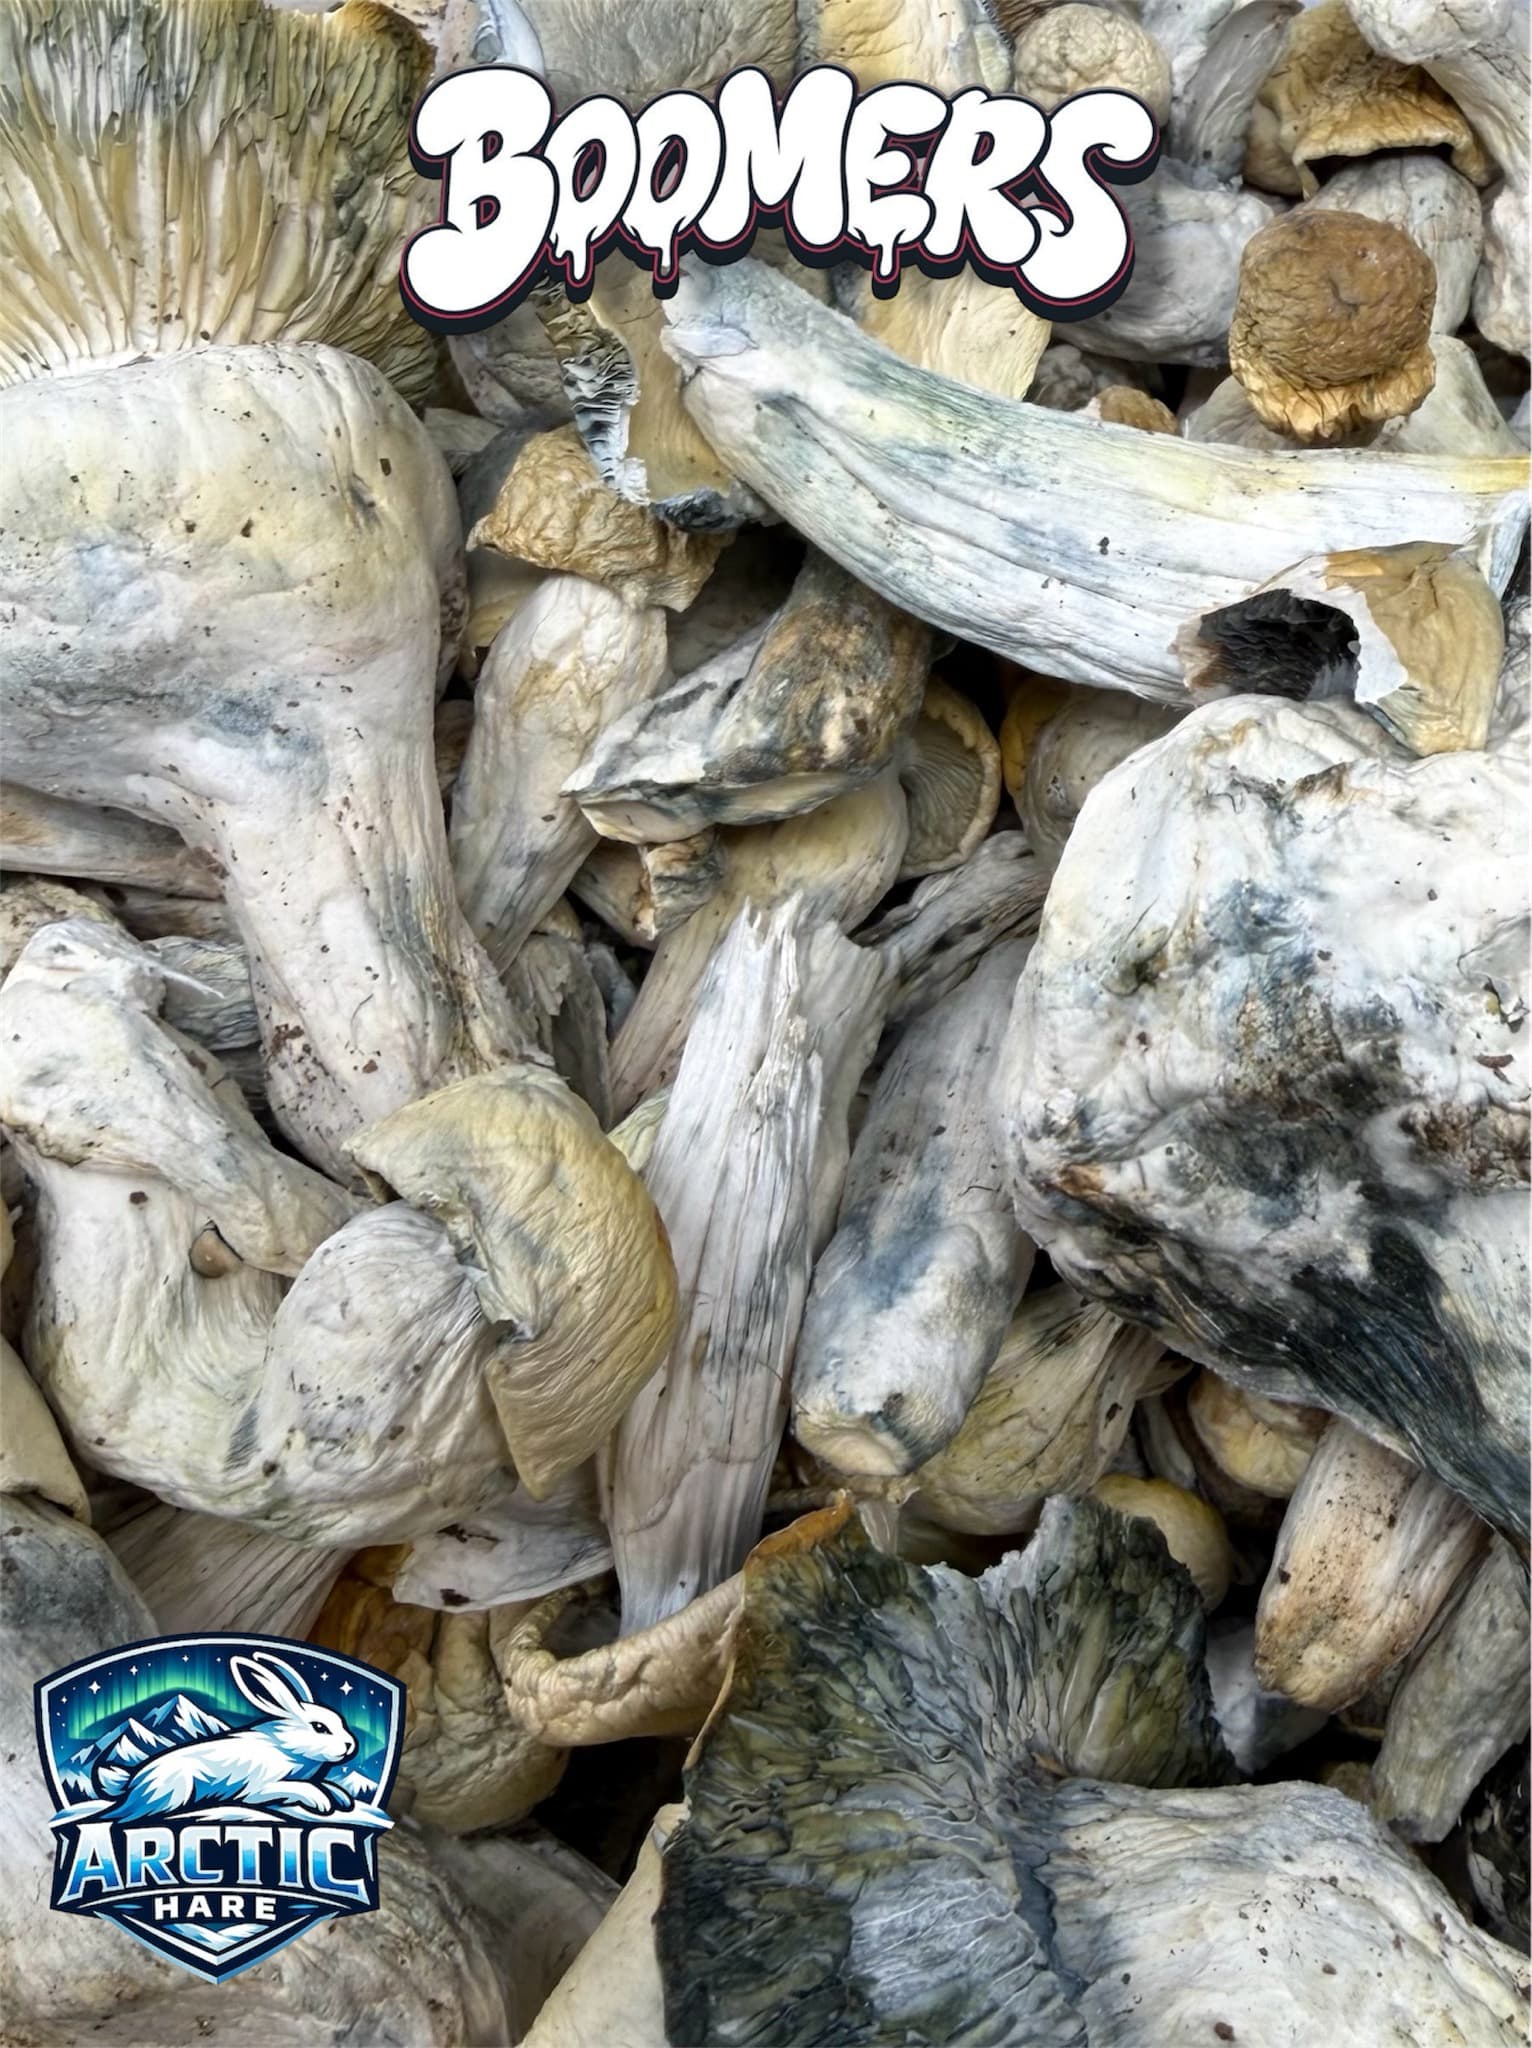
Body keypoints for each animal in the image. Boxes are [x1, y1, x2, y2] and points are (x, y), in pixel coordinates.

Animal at [99, 1653, 360, 1823]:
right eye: (319, 1728)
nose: (350, 1746)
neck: (285, 1748)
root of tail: (131, 1783)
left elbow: (324, 1785)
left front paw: (342, 1799)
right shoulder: (259, 1788)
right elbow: (295, 1787)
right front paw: (321, 1801)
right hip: (176, 1791)